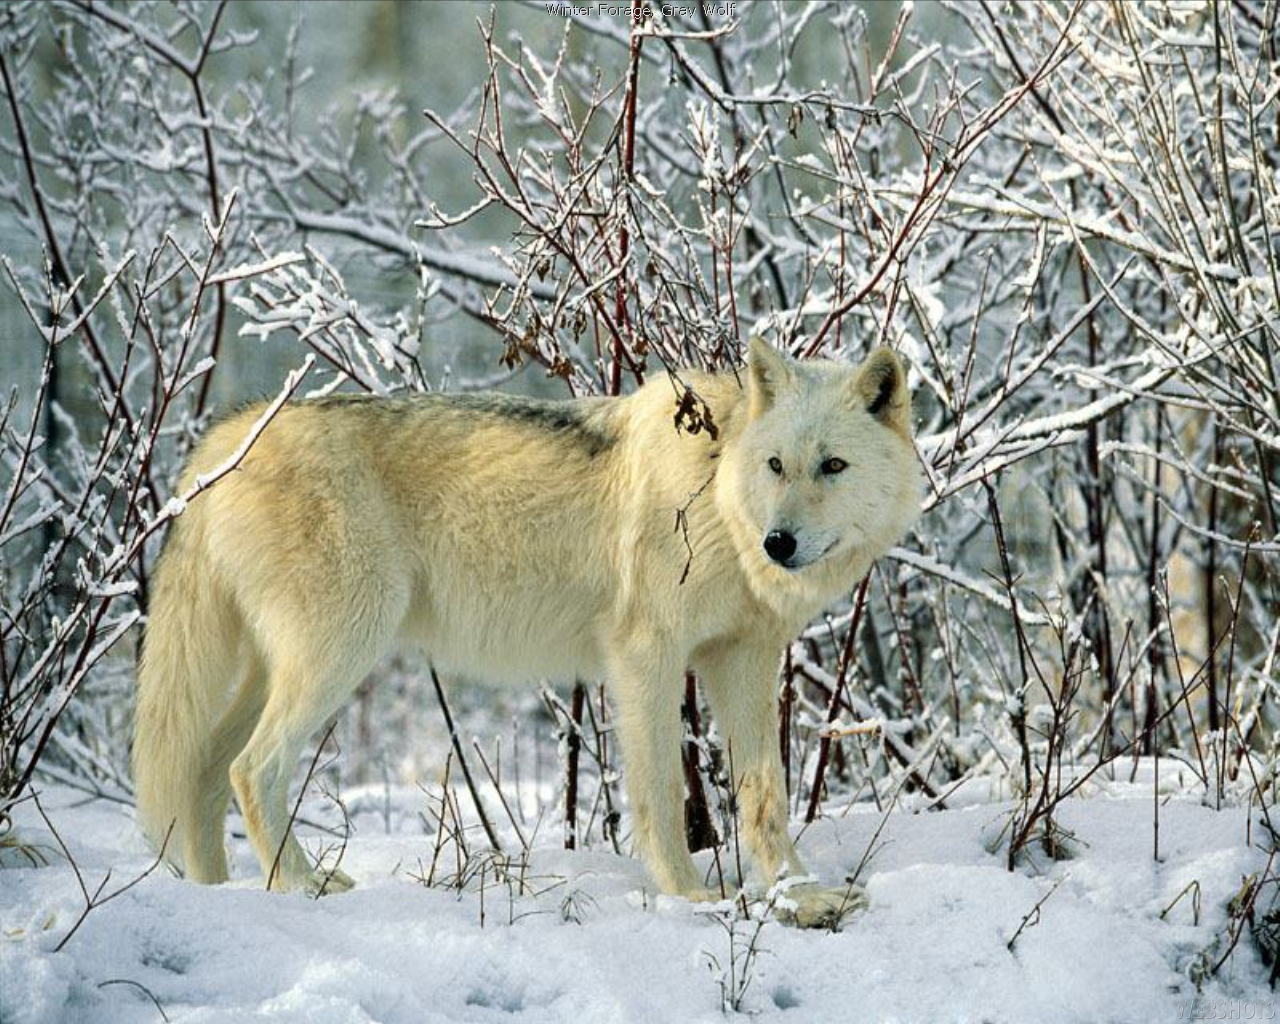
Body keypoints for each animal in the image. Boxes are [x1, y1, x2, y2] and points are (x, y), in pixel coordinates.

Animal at [132, 337, 921, 926]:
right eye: (777, 465)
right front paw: (692, 897)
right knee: (252, 768)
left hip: (278, 670)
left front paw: (800, 894)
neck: (719, 495)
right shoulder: (646, 658)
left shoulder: (746, 660)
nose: (778, 543)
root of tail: (226, 436)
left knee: (205, 771)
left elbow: (765, 796)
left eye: (833, 466)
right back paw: (304, 887)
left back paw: (219, 895)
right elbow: (663, 793)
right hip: (341, 652)